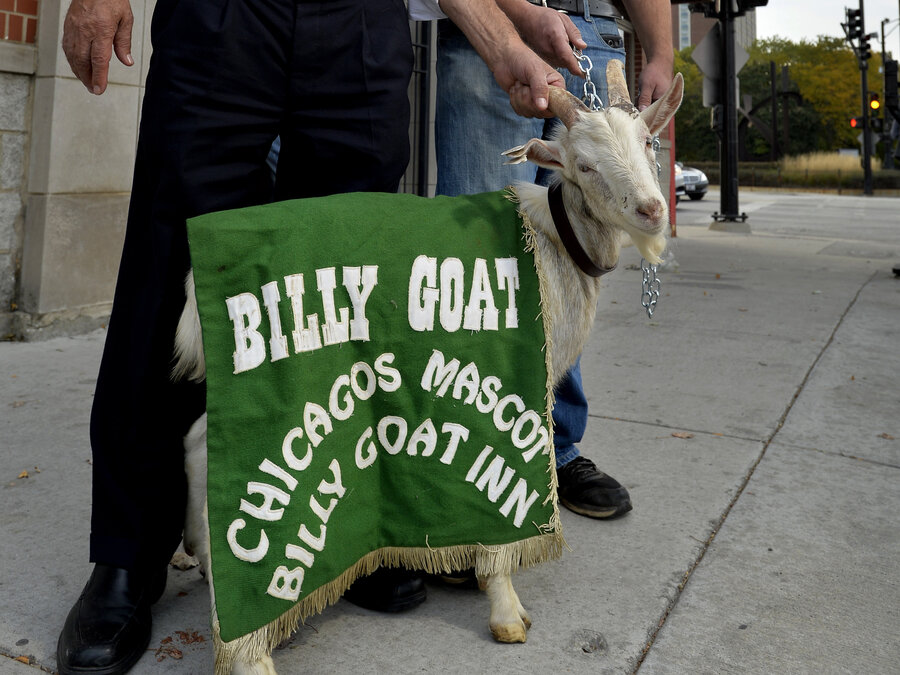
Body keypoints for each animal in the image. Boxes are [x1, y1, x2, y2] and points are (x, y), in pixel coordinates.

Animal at [174, 60, 684, 672]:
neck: (551, 241)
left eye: (649, 142)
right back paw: (246, 647)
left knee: (196, 439)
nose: (652, 211)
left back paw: (198, 558)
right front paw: (505, 607)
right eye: (584, 163)